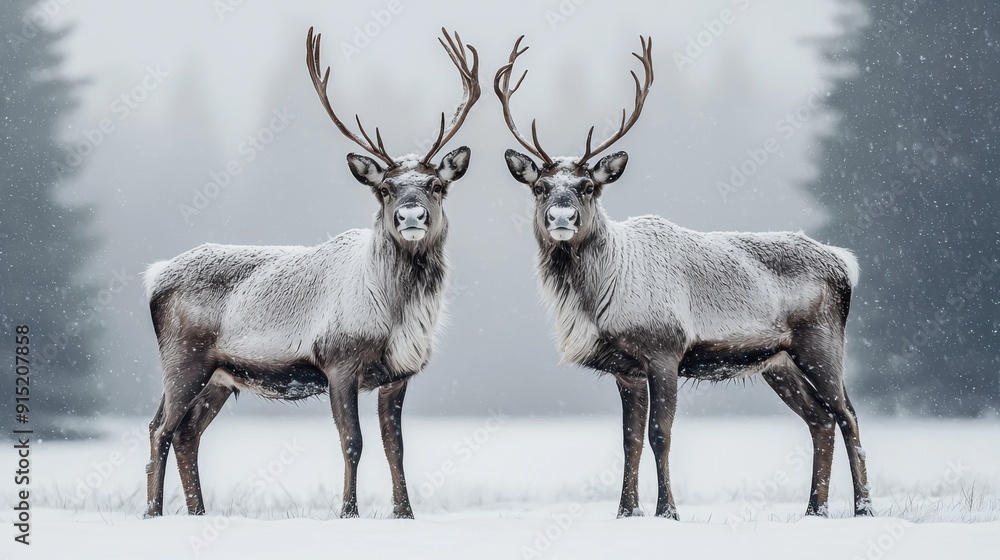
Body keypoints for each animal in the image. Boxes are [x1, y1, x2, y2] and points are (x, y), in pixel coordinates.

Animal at [142, 27, 480, 519]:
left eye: (437, 185)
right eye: (384, 189)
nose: (411, 215)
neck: (396, 314)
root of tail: (154, 277)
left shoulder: (398, 374)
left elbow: (395, 447)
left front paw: (405, 513)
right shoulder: (338, 360)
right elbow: (353, 442)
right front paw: (348, 512)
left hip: (220, 376)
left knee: (186, 433)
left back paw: (198, 512)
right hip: (183, 359)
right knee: (160, 429)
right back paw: (153, 513)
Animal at [494, 35, 871, 519]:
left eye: (588, 186)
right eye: (539, 187)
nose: (562, 217)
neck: (598, 300)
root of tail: (844, 263)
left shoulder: (664, 349)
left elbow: (660, 434)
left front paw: (667, 511)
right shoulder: (627, 370)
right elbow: (629, 441)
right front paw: (626, 512)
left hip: (822, 342)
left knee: (848, 415)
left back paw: (863, 508)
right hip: (778, 361)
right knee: (820, 419)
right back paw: (814, 510)